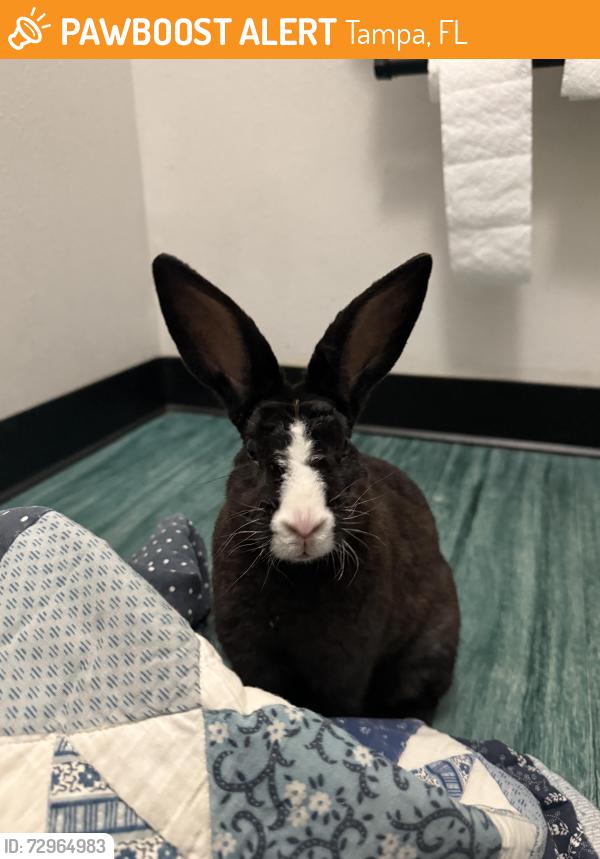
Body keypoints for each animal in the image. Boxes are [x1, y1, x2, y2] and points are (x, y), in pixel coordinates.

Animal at [153, 251, 460, 720]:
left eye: (345, 447)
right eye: (252, 452)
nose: (303, 524)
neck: (298, 575)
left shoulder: (346, 665)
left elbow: (339, 704)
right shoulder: (252, 654)